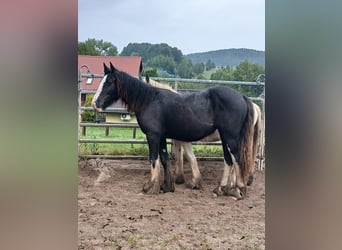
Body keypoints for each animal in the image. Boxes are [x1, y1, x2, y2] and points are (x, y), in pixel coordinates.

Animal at [93, 62, 256, 199]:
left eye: (109, 82)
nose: (95, 104)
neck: (149, 100)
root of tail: (242, 97)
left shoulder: (153, 136)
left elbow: (154, 159)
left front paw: (150, 187)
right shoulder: (162, 137)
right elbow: (164, 159)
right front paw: (167, 186)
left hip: (231, 138)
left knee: (237, 159)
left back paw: (238, 190)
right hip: (224, 138)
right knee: (229, 160)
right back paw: (222, 189)